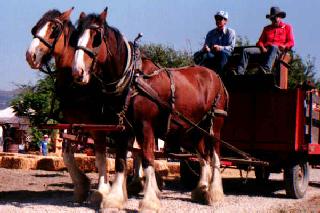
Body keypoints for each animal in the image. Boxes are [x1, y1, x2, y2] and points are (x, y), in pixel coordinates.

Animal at [25, 7, 112, 203]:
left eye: (54, 29)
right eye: (35, 28)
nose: (30, 56)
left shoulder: (99, 125)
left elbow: (101, 157)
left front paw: (102, 190)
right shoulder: (70, 122)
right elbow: (66, 154)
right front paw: (81, 186)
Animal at [72, 7, 229, 212]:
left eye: (97, 37)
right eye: (76, 36)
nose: (77, 72)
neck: (132, 80)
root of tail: (215, 76)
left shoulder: (145, 127)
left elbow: (147, 160)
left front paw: (148, 201)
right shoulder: (123, 129)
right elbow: (121, 161)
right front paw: (114, 199)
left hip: (214, 125)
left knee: (215, 155)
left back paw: (215, 194)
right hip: (194, 130)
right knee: (202, 156)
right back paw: (201, 190)